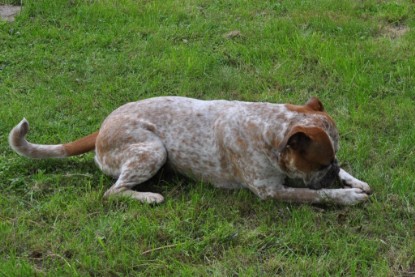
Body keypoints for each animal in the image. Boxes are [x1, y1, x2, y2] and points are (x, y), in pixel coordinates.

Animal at [8, 96, 372, 204]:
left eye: (334, 160)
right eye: (321, 163)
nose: (333, 171)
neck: (270, 129)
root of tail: (101, 129)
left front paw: (354, 181)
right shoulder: (271, 191)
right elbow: (317, 195)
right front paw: (347, 195)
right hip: (154, 150)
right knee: (113, 192)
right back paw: (148, 197)